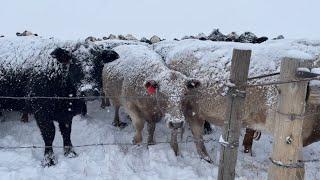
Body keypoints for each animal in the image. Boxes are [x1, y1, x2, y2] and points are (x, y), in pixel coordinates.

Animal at [0, 37, 119, 167]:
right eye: (74, 63)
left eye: (99, 63)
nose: (89, 91)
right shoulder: (42, 112)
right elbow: (49, 134)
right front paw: (49, 159)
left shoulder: (66, 114)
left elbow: (66, 132)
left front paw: (70, 152)